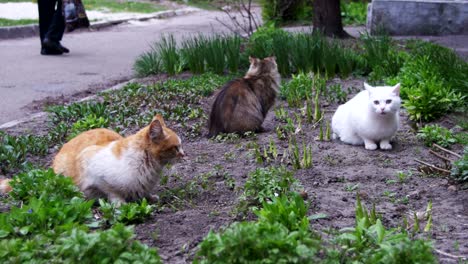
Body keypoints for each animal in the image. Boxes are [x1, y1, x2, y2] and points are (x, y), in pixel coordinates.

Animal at [0, 114, 186, 204]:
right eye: (176, 147)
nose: (184, 154)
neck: (149, 169)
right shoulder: (90, 163)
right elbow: (112, 191)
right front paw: (120, 203)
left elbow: (142, 191)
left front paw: (148, 197)